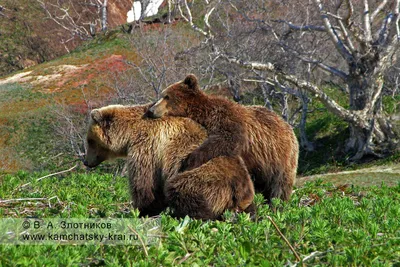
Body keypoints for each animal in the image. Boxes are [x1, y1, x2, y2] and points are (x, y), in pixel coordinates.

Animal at [83, 104, 255, 220]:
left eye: (89, 141)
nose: (86, 161)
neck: (129, 134)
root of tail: (238, 192)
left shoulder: (147, 146)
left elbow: (146, 186)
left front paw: (142, 211)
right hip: (244, 191)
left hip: (209, 178)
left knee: (180, 187)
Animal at [145, 74, 298, 204]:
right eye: (162, 95)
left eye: (166, 96)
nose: (151, 110)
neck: (204, 114)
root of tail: (288, 127)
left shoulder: (228, 120)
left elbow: (225, 140)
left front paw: (188, 162)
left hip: (280, 157)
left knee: (280, 185)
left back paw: (277, 203)